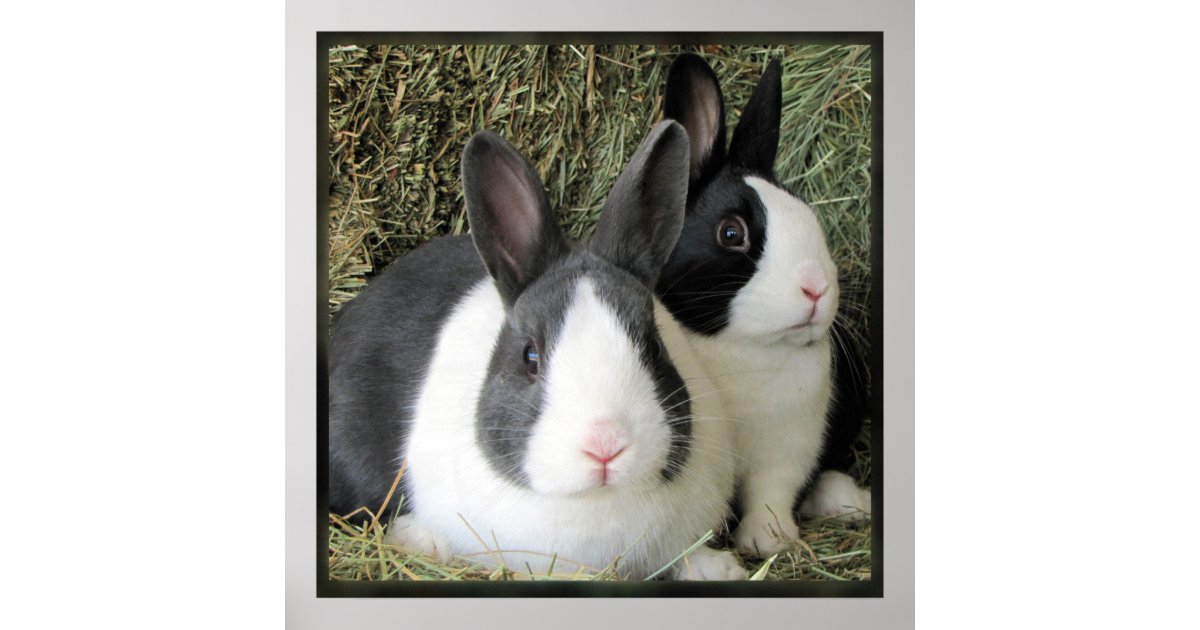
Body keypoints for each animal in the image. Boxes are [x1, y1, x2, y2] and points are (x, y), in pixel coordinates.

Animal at [655, 53, 872, 558]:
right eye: (732, 232)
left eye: (810, 215)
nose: (816, 288)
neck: (742, 350)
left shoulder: (789, 448)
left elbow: (771, 491)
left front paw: (766, 541)